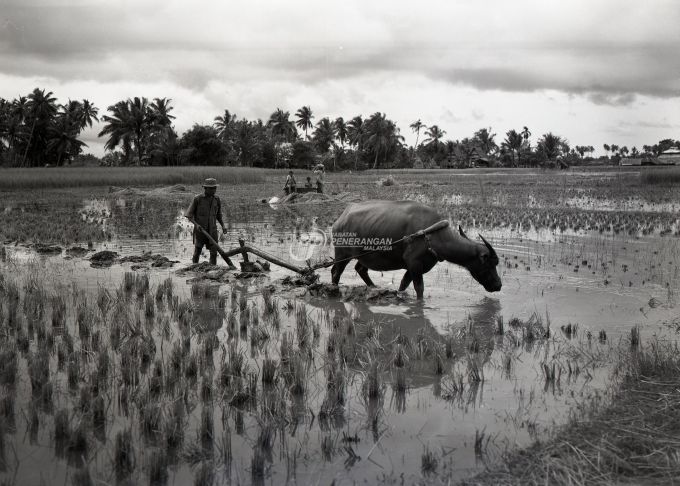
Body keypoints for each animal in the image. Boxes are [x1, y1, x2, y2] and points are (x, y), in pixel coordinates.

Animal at [332, 199, 502, 298]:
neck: (432, 236)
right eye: (490, 263)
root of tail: (341, 218)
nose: (498, 285)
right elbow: (419, 288)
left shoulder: (416, 267)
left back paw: (373, 287)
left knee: (360, 269)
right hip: (342, 253)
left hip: (364, 256)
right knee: (336, 271)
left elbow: (403, 284)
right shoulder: (414, 263)